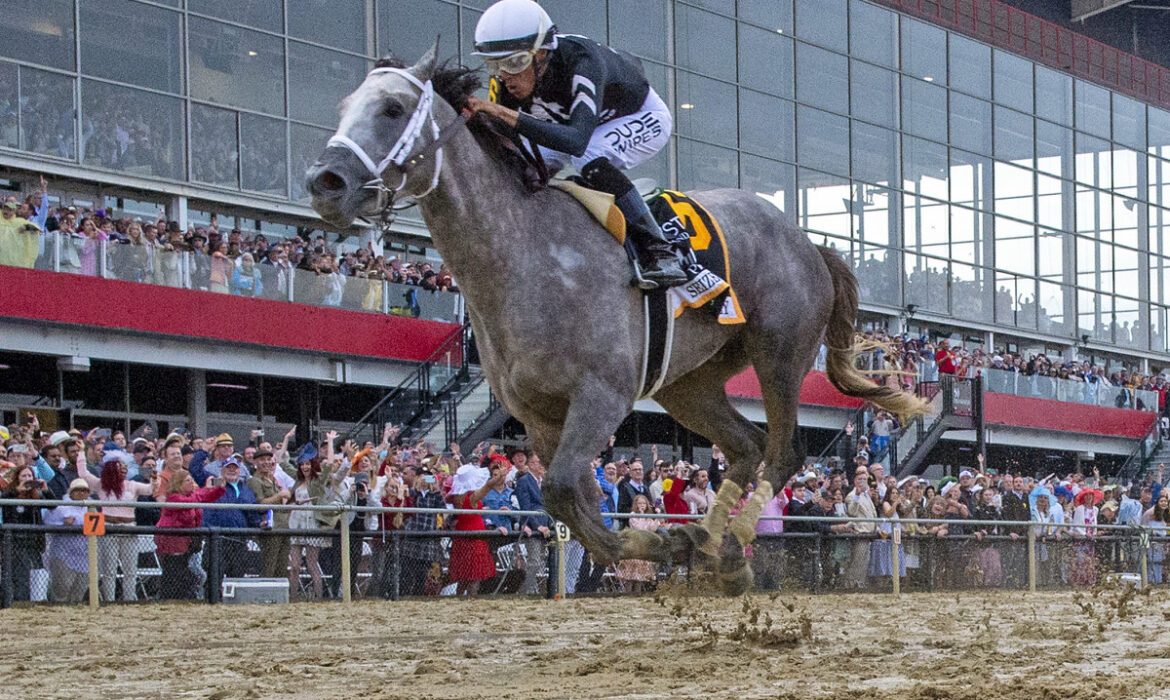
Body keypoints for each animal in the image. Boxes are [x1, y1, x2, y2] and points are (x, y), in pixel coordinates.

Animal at [306, 42, 926, 592]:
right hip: (688, 383)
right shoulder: (538, 417)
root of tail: (807, 242)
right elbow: (568, 499)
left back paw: (729, 544)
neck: (524, 255)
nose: (325, 182)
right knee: (747, 446)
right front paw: (661, 541)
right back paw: (712, 544)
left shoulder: (601, 394)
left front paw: (660, 542)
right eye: (342, 106)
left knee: (784, 449)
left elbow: (561, 490)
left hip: (780, 352)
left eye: (392, 108)